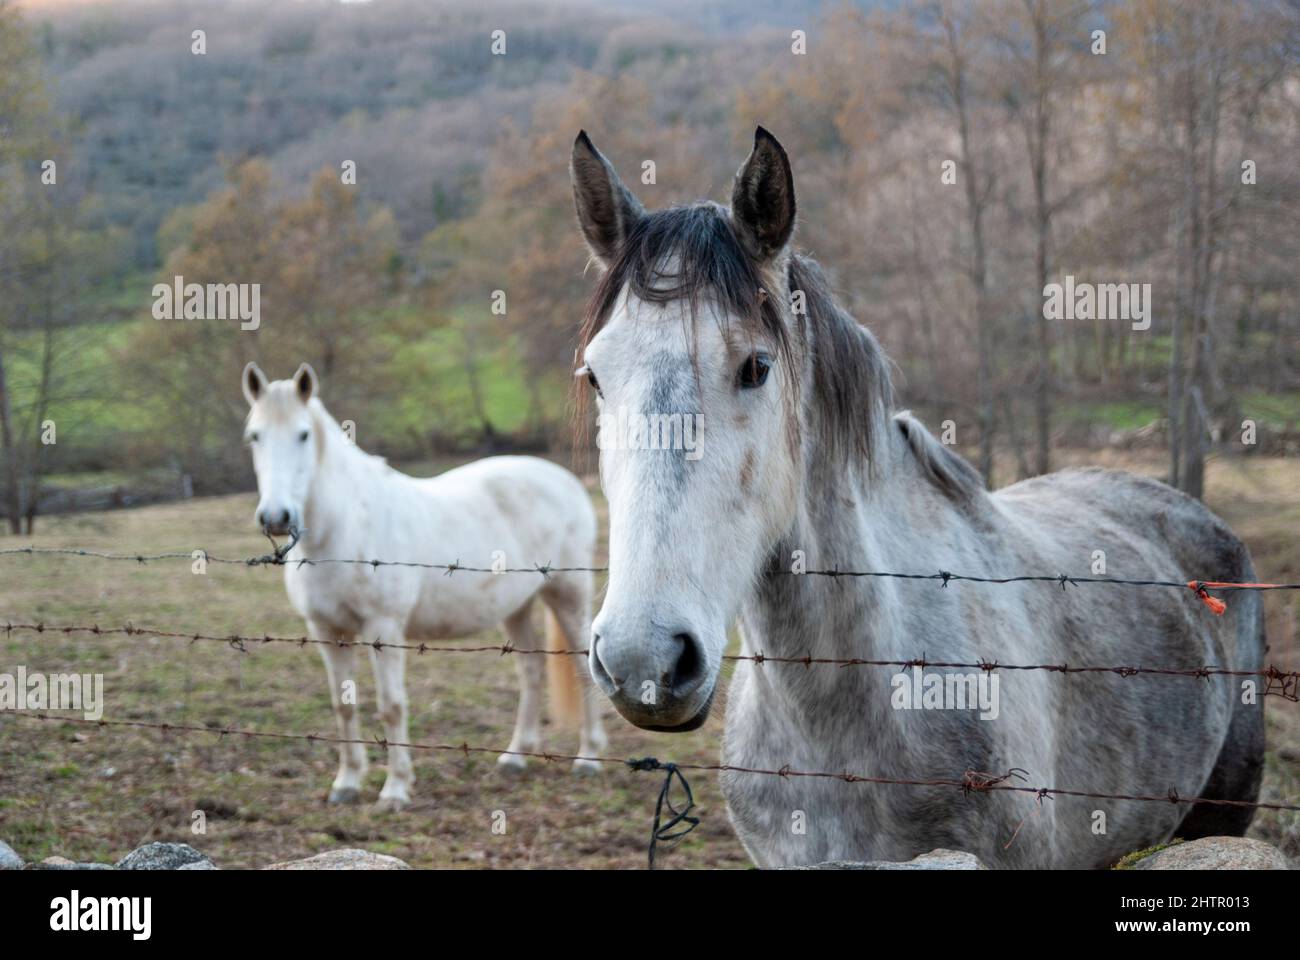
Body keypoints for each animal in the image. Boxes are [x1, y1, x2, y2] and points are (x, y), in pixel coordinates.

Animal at [241, 361, 605, 806]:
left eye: (303, 434)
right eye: (254, 435)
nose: (276, 517)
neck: (343, 529)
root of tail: (565, 480)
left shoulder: (383, 628)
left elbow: (392, 706)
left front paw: (395, 789)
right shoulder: (328, 632)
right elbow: (343, 705)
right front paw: (347, 783)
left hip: (568, 595)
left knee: (582, 667)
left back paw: (588, 759)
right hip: (516, 607)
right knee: (531, 671)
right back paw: (515, 757)